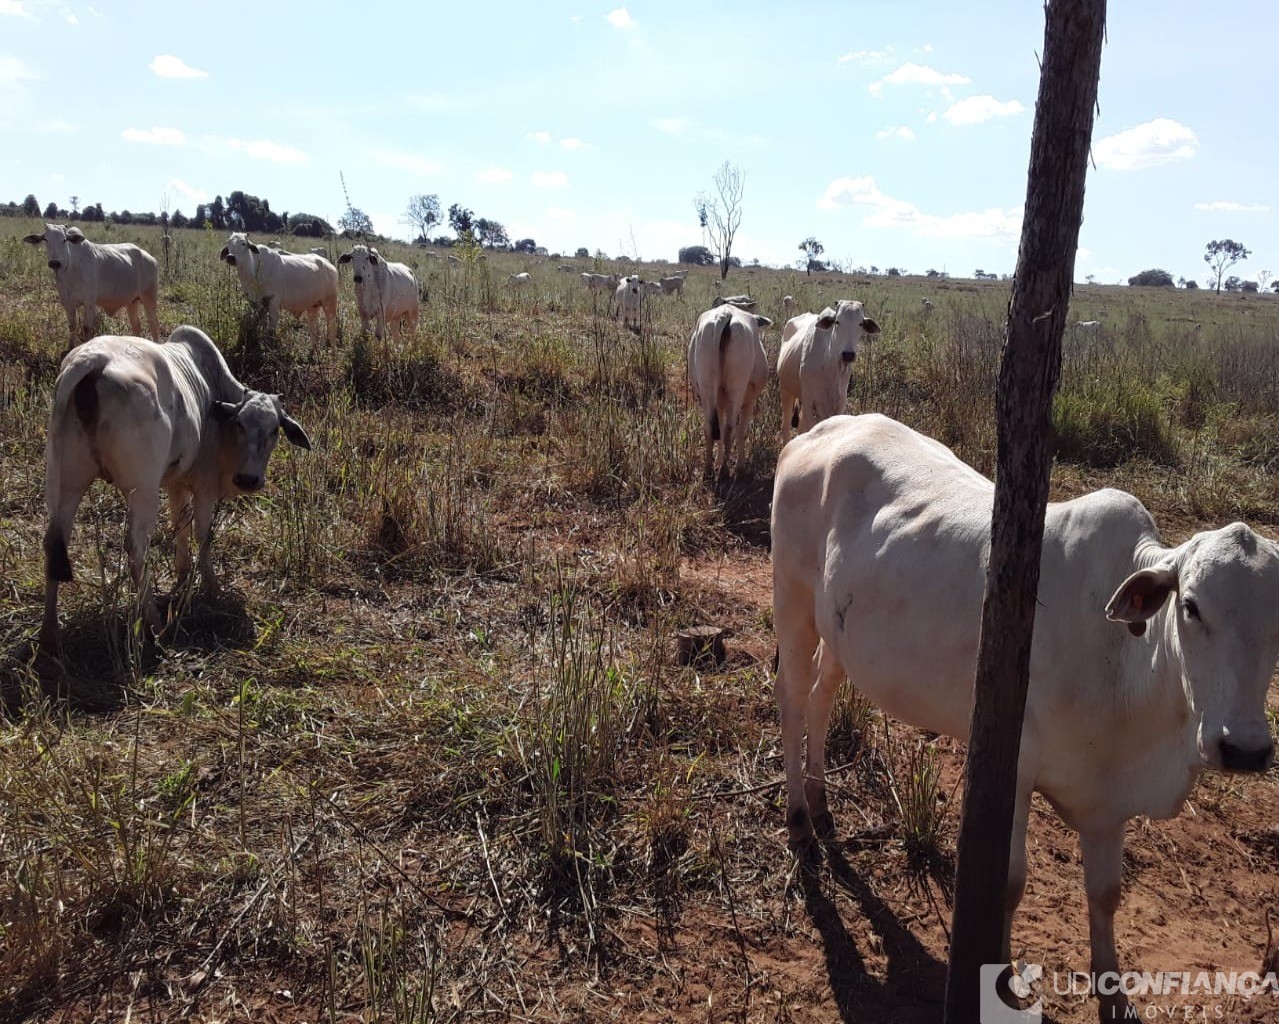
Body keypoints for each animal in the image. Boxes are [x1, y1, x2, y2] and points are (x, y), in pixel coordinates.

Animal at [22, 221, 161, 345]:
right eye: (46, 239)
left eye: (64, 240)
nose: (55, 263)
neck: (70, 269)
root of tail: (150, 258)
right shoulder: (67, 303)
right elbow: (72, 326)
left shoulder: (89, 303)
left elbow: (86, 328)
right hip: (132, 301)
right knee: (136, 326)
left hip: (149, 298)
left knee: (154, 325)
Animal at [40, 323, 312, 651]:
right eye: (240, 424)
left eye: (274, 430)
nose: (248, 479)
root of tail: (91, 361)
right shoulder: (205, 488)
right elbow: (203, 535)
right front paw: (211, 587)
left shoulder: (175, 482)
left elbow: (181, 524)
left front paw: (183, 573)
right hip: (142, 490)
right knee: (136, 551)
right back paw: (155, 626)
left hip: (66, 482)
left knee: (54, 543)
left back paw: (49, 634)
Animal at [685, 301, 772, 478]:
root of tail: (724, 315)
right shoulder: (749, 401)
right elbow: (741, 431)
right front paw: (739, 466)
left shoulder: (719, 401)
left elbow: (720, 425)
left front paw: (718, 461)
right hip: (736, 390)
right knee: (730, 429)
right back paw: (726, 471)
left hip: (707, 390)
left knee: (710, 427)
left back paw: (709, 470)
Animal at [767, 411, 1279, 1017]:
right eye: (1191, 606)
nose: (1244, 749)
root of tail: (824, 428)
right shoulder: (1014, 769)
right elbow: (1009, 883)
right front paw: (1004, 979)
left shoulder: (1107, 799)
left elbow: (1105, 895)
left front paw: (1111, 990)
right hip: (792, 602)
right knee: (792, 699)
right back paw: (800, 817)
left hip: (841, 639)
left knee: (821, 700)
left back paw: (822, 804)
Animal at [772, 295, 885, 439]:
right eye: (837, 322)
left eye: (860, 323)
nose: (848, 355)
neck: (831, 368)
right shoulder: (809, 401)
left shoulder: (839, 404)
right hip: (786, 390)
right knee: (786, 426)